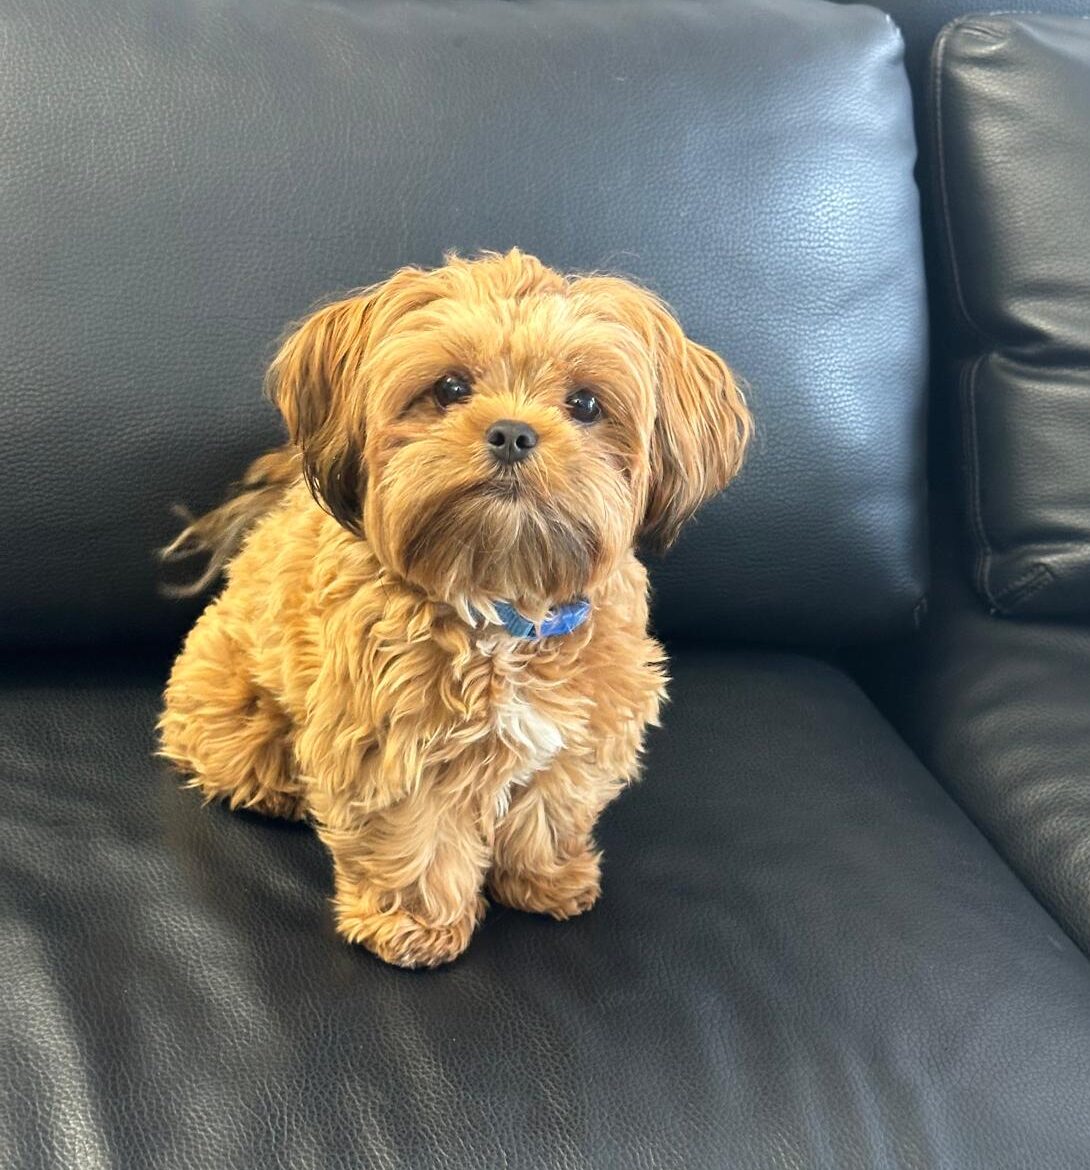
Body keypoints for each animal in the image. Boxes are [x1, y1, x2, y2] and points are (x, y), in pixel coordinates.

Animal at [158, 250, 750, 968]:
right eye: (449, 389)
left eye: (585, 403)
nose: (513, 432)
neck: (503, 600)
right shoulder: (392, 740)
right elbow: (417, 836)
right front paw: (415, 925)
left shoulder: (582, 733)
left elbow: (551, 809)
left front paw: (545, 880)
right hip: (232, 701)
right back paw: (275, 790)